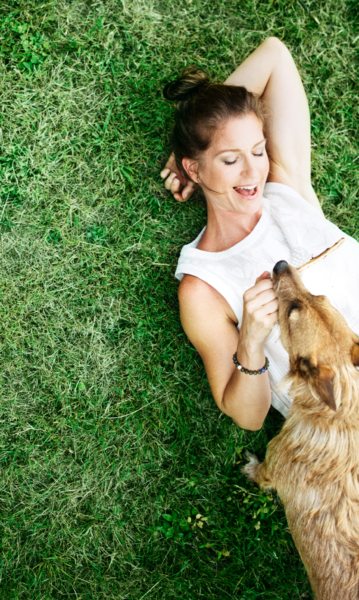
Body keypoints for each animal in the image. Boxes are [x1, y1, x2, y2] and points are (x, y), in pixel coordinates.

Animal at [245, 260, 359, 596]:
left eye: (290, 312)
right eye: (318, 295)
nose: (280, 263)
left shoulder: (273, 465)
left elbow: (261, 473)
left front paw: (249, 468)